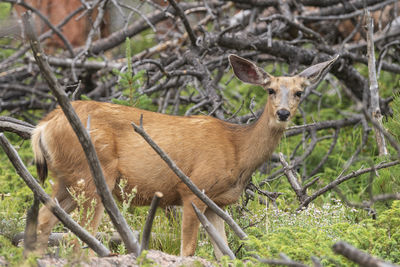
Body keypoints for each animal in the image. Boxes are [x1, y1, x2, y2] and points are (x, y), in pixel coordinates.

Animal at [32, 54, 338, 260]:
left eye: (299, 92)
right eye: (270, 90)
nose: (283, 113)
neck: (237, 149)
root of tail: (43, 127)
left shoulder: (217, 203)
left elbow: (224, 253)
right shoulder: (193, 189)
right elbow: (187, 251)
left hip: (67, 179)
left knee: (45, 219)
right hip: (93, 175)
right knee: (78, 239)